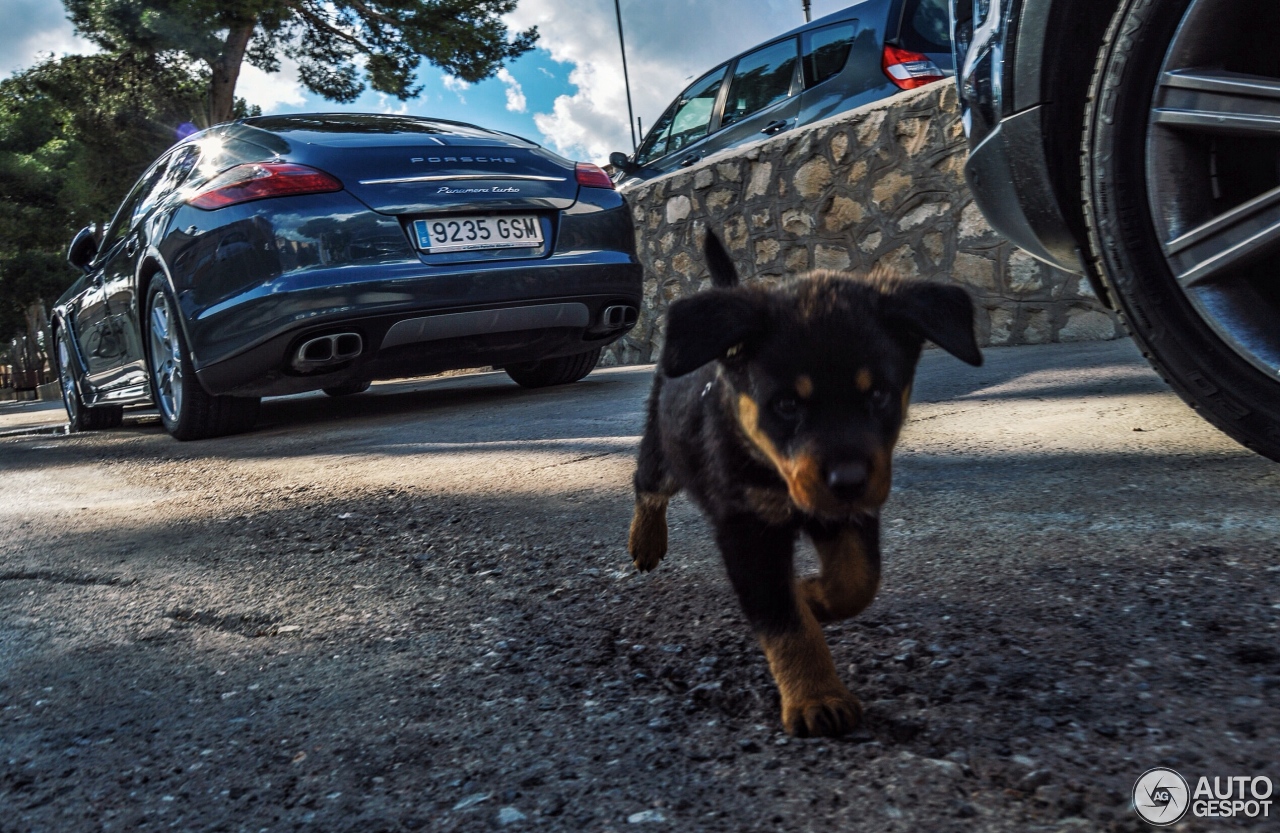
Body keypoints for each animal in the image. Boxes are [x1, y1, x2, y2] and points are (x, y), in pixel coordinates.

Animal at [627, 227, 977, 737]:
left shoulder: (849, 512)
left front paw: (811, 595)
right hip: (663, 452)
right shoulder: (748, 529)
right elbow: (784, 621)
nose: (848, 480)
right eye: (787, 404)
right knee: (648, 487)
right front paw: (817, 697)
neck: (769, 468)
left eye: (878, 394)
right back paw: (645, 541)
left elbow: (857, 581)